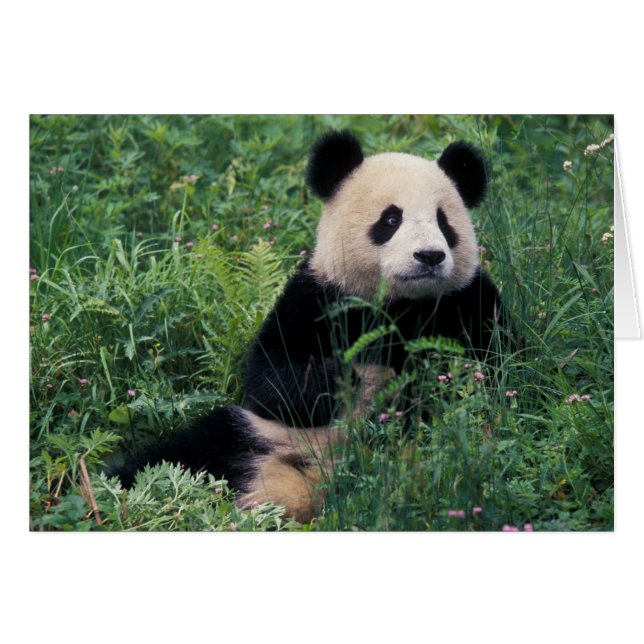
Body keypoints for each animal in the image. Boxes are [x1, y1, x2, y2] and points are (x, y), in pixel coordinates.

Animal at [110, 130, 508, 523]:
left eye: (443, 222)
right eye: (391, 220)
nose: (429, 256)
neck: (400, 304)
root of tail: (303, 485)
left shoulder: (468, 301)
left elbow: (501, 371)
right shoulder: (315, 298)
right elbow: (271, 379)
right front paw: (340, 376)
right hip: (257, 433)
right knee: (177, 455)